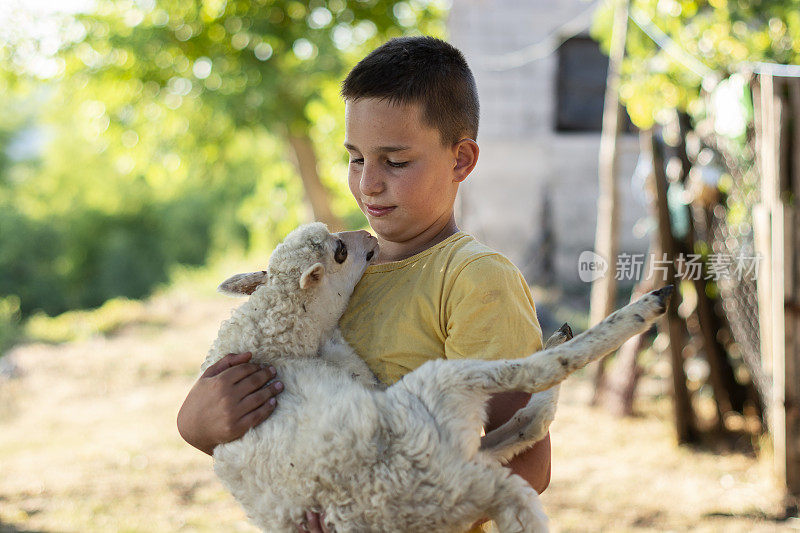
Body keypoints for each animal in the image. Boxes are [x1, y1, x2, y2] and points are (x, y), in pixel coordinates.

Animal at [203, 221, 672, 532]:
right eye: (339, 252)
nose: (368, 236)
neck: (270, 333)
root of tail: (457, 485)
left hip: (461, 444)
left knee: (523, 428)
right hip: (439, 392)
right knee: (533, 382)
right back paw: (641, 308)